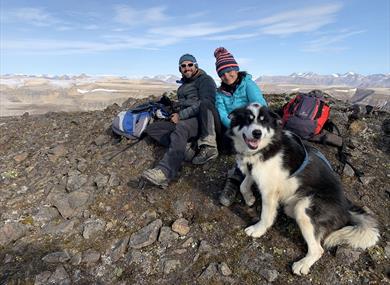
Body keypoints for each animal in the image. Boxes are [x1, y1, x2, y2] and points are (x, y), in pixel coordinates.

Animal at [229, 104, 378, 276]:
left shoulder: (269, 190)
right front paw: (249, 198)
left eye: (264, 122)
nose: (257, 133)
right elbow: (243, 184)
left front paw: (258, 229)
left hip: (305, 208)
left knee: (318, 249)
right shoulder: (256, 172)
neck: (265, 148)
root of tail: (346, 209)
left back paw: (302, 264)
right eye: (248, 120)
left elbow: (266, 216)